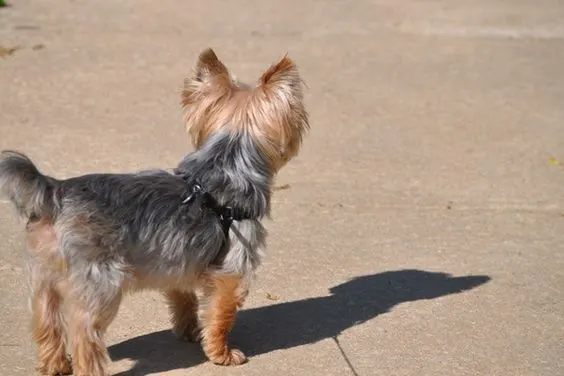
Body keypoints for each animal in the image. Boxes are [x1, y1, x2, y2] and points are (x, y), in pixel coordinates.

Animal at [0, 48, 308, 374]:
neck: (226, 165)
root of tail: (56, 193)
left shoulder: (179, 263)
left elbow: (184, 299)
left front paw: (190, 331)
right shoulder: (232, 268)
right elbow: (221, 314)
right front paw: (221, 353)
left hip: (44, 278)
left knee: (47, 321)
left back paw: (54, 365)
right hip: (102, 283)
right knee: (85, 333)